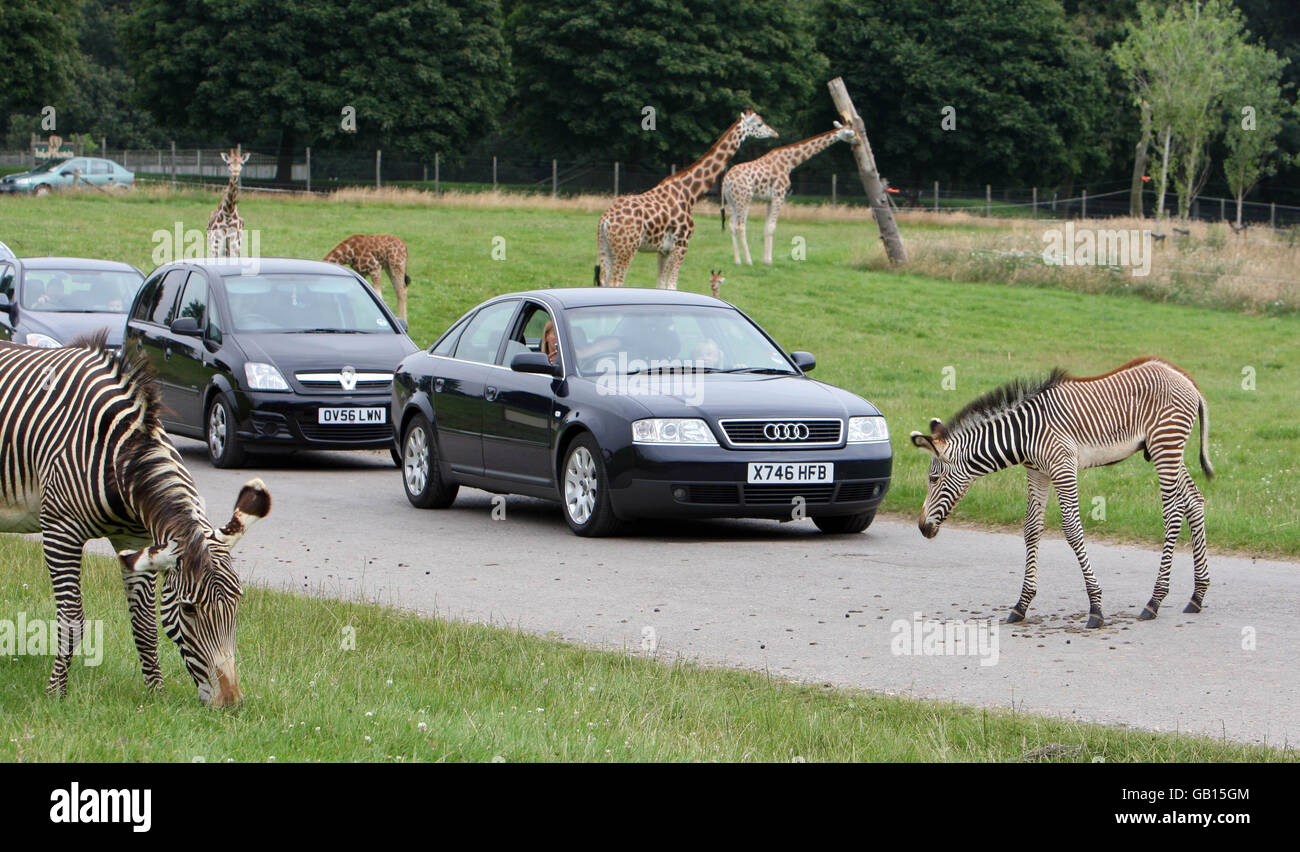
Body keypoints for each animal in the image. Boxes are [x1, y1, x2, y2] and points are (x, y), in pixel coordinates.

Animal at [0, 335, 269, 707]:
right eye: (188, 609)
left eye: (238, 601)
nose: (231, 703)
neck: (121, 456)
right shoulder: (60, 530)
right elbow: (71, 618)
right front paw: (56, 693)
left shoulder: (137, 541)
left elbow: (144, 623)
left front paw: (156, 694)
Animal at [595, 109, 774, 290]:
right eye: (759, 124)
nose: (774, 133)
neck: (690, 193)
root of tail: (605, 220)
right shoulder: (682, 244)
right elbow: (672, 285)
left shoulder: (664, 250)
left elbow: (661, 285)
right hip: (627, 249)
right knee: (616, 282)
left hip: (605, 248)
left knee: (604, 281)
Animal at [717, 121, 857, 265]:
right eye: (851, 133)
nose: (858, 141)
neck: (790, 162)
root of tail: (726, 181)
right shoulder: (779, 195)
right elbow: (772, 227)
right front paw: (769, 261)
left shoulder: (769, 199)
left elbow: (766, 227)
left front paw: (765, 260)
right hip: (744, 199)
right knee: (741, 226)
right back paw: (749, 261)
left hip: (731, 200)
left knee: (732, 225)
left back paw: (737, 261)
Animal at [909, 356, 1211, 629]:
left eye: (933, 479)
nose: (922, 527)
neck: (1023, 434)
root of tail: (1188, 381)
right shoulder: (1037, 472)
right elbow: (1031, 529)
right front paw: (1021, 605)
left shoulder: (1063, 467)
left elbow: (1072, 529)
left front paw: (1096, 607)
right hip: (1167, 450)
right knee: (1194, 501)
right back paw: (1197, 595)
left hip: (1165, 446)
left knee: (1172, 512)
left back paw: (1155, 600)